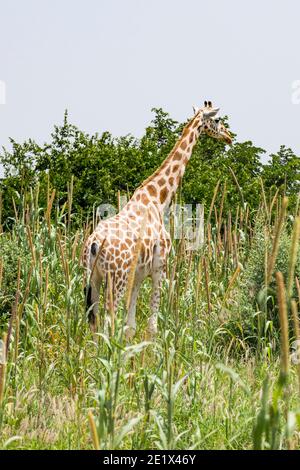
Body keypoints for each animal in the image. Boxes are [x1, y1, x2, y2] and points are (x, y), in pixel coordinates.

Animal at [82, 101, 232, 340]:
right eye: (218, 120)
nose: (229, 137)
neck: (158, 199)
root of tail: (94, 245)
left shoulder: (138, 273)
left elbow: (131, 325)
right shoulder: (160, 265)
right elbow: (152, 324)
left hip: (91, 277)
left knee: (94, 322)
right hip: (116, 277)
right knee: (108, 320)